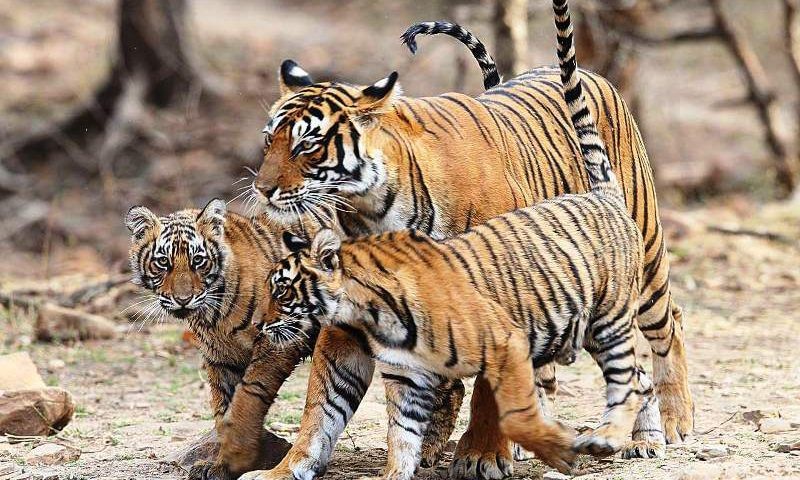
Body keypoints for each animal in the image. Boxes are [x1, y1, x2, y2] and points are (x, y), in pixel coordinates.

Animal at [125, 200, 320, 480]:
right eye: (162, 262)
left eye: (198, 261)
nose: (182, 299)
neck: (214, 314)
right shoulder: (221, 356)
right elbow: (223, 410)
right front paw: (222, 465)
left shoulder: (280, 340)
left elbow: (247, 399)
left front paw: (239, 455)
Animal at [243, 2, 692, 478]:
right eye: (269, 139)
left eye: (307, 145)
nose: (262, 189)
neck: (376, 206)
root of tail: (592, 74)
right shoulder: (348, 314)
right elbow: (323, 404)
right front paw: (286, 468)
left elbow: (486, 389)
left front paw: (481, 455)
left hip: (642, 260)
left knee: (664, 331)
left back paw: (662, 430)